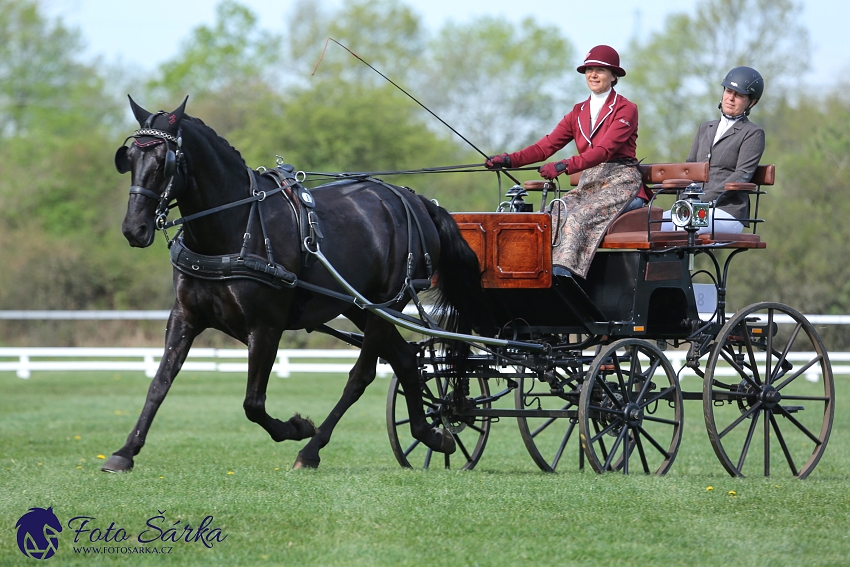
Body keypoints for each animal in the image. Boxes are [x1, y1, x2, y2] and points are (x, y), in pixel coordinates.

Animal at [104, 98, 490, 474]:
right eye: (130, 157)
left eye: (165, 161)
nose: (134, 229)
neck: (235, 226)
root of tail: (416, 201)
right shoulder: (185, 316)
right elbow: (159, 383)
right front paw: (124, 452)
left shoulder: (266, 327)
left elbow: (253, 403)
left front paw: (297, 427)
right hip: (360, 307)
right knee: (407, 360)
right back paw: (431, 434)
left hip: (386, 305)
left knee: (362, 375)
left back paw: (312, 449)